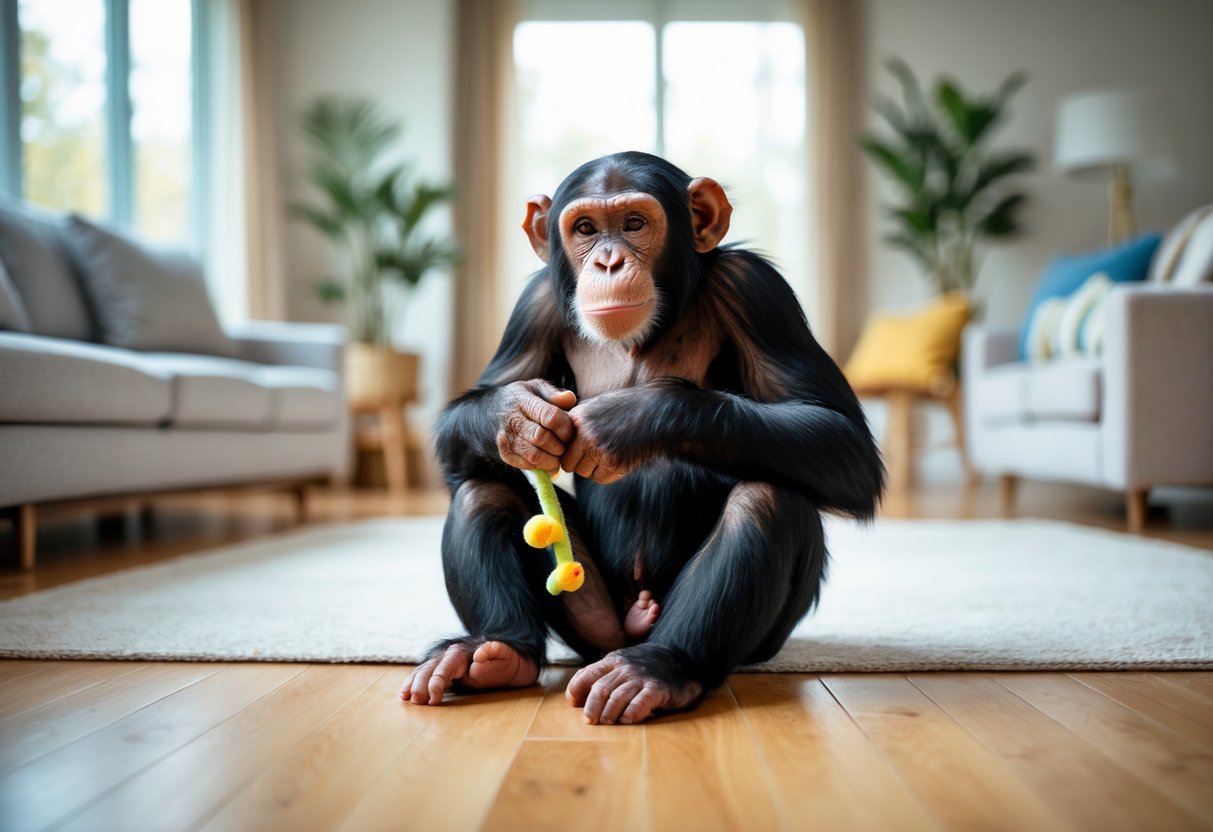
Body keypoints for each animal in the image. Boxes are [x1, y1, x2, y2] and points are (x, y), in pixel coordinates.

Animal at [402, 151, 884, 724]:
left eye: (634, 224)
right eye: (586, 229)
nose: (609, 262)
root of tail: (629, 631)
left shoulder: (757, 290)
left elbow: (841, 437)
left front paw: (627, 420)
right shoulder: (533, 305)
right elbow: (469, 428)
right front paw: (517, 418)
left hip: (750, 640)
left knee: (768, 501)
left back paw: (658, 669)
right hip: (591, 624)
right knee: (482, 490)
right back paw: (493, 652)